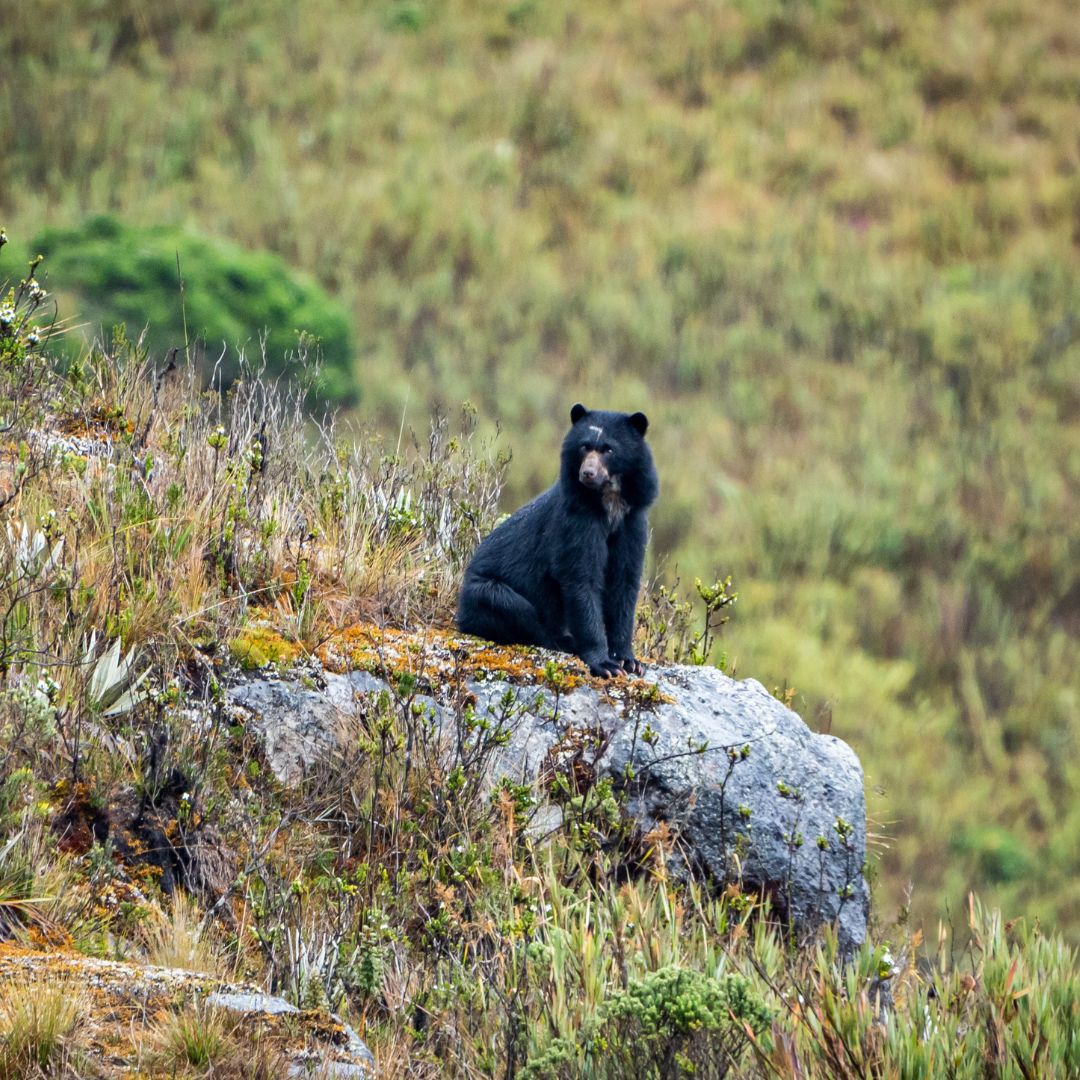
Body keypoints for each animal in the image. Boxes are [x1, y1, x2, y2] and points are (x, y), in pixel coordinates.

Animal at [455, 406, 656, 673]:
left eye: (609, 449)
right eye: (584, 447)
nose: (587, 473)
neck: (609, 503)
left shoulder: (632, 521)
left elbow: (625, 581)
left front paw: (629, 660)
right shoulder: (576, 520)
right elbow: (580, 577)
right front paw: (605, 664)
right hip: (483, 593)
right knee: (515, 608)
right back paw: (563, 640)